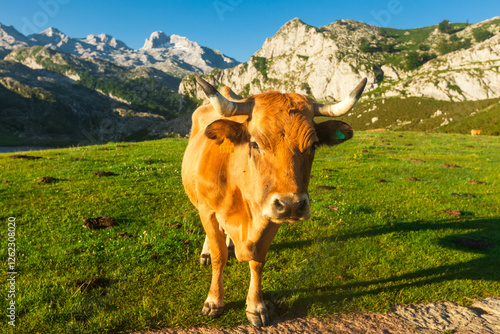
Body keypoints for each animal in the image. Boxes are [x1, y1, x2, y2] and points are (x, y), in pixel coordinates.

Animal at [181, 76, 368, 326]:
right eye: (255, 144)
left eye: (313, 145)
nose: (291, 205)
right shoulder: (208, 210)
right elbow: (219, 256)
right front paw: (213, 301)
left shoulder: (271, 218)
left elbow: (258, 261)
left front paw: (255, 306)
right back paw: (207, 253)